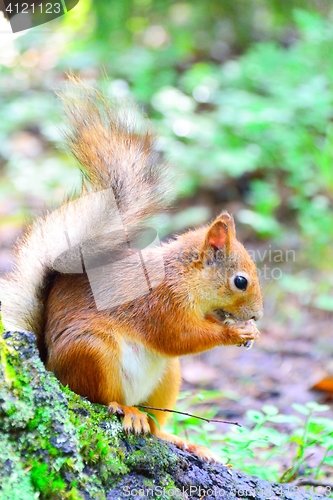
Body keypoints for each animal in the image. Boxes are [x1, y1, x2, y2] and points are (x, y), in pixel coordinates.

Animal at [1, 80, 264, 462]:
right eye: (240, 281)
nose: (257, 316)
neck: (183, 276)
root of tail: (48, 361)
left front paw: (247, 332)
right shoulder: (161, 303)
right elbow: (180, 337)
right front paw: (235, 332)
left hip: (167, 376)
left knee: (157, 424)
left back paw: (180, 440)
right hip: (94, 352)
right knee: (99, 397)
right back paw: (126, 410)